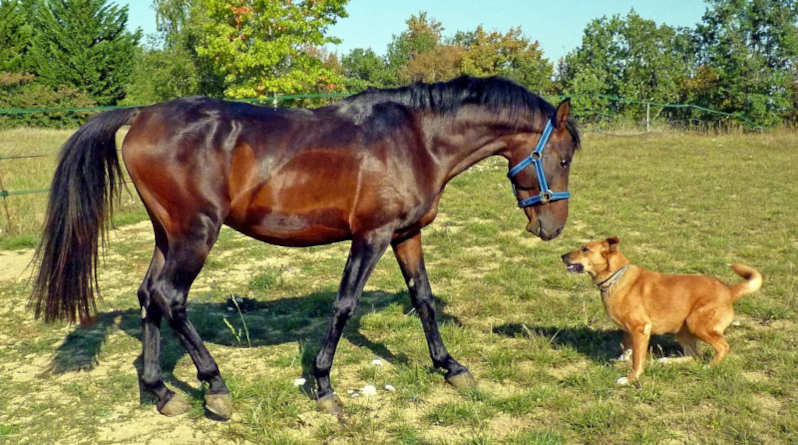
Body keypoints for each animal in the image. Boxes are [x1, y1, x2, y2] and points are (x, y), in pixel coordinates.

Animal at [31, 74, 580, 418]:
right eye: (565, 157)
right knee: (171, 298)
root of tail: (143, 114)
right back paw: (215, 387)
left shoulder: (407, 235)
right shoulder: (371, 236)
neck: (417, 140)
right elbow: (343, 306)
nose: (551, 227)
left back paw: (161, 393)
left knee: (149, 297)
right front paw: (324, 387)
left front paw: (452, 368)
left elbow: (422, 299)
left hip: (168, 235)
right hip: (195, 234)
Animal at [564, 236, 764, 386]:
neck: (615, 277)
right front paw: (622, 359)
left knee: (722, 347)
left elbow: (637, 359)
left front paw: (630, 379)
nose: (562, 256)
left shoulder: (640, 329)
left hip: (697, 323)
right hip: (683, 331)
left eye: (585, 249)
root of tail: (729, 290)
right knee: (694, 356)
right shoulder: (628, 330)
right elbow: (627, 346)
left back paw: (709, 367)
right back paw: (667, 361)